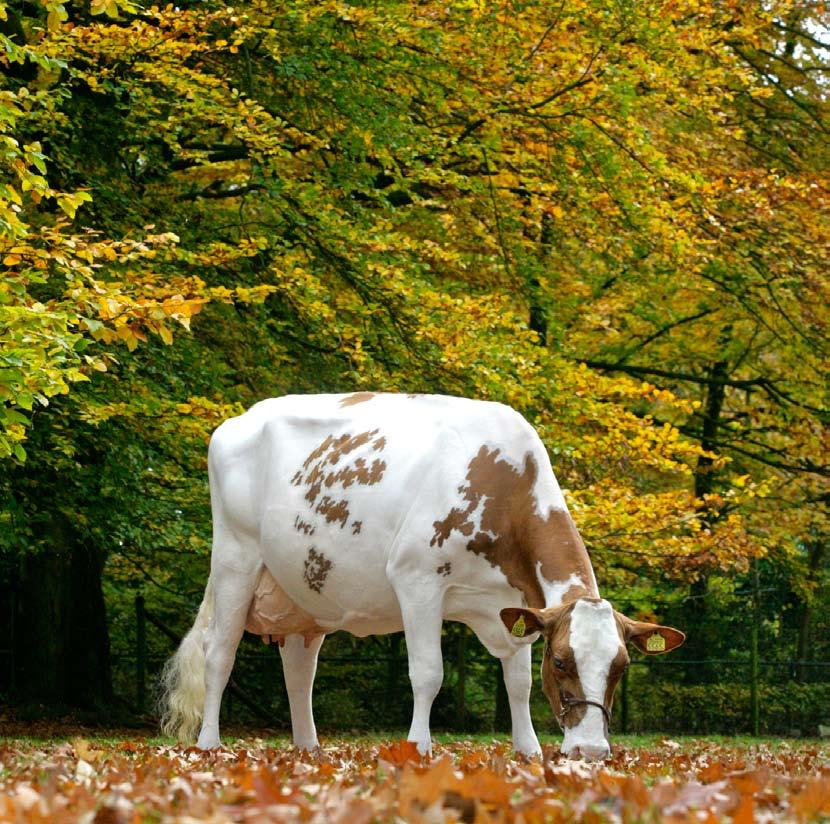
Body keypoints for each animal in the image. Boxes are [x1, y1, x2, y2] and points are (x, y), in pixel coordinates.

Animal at [159, 392, 684, 760]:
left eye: (622, 667)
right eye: (560, 662)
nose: (591, 751)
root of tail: (240, 418)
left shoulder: (514, 604)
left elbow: (517, 682)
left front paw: (528, 750)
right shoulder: (418, 579)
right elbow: (428, 673)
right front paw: (419, 747)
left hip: (304, 590)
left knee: (299, 671)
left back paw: (309, 750)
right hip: (236, 558)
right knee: (220, 654)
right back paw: (209, 744)